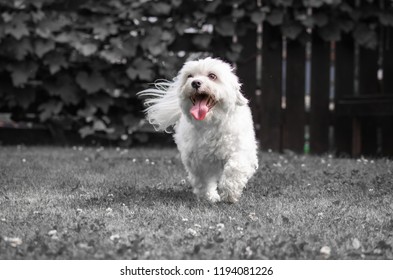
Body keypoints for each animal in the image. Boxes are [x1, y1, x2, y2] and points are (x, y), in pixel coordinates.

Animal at [137, 57, 258, 202]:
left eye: (212, 76)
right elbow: (203, 179)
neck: (210, 123)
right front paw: (209, 196)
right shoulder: (197, 161)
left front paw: (230, 194)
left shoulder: (242, 151)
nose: (195, 82)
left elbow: (234, 168)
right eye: (190, 76)